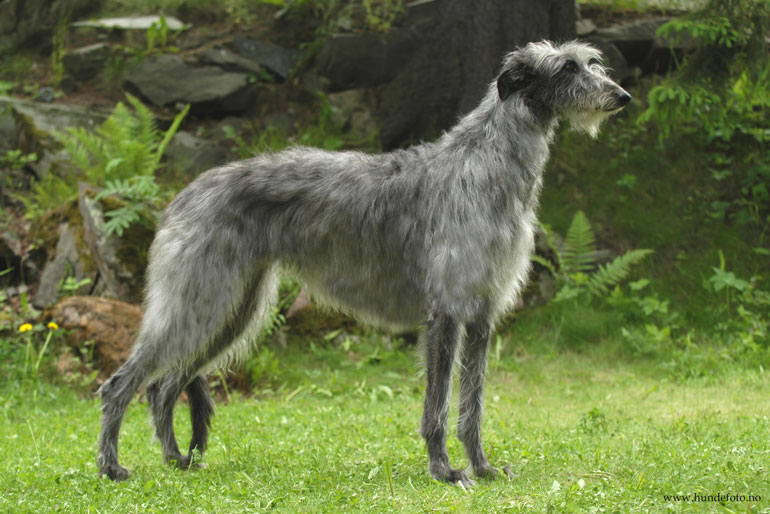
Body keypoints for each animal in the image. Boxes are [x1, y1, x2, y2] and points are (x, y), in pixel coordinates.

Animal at [97, 41, 632, 484]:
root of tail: (182, 194)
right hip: (200, 299)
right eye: (567, 67)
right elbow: (438, 406)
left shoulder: (482, 313)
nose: (622, 96)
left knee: (163, 387)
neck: (485, 165)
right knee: (122, 385)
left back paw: (175, 459)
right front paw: (444, 470)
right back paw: (112, 467)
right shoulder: (445, 312)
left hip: (233, 309)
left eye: (593, 62)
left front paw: (481, 467)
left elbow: (472, 405)